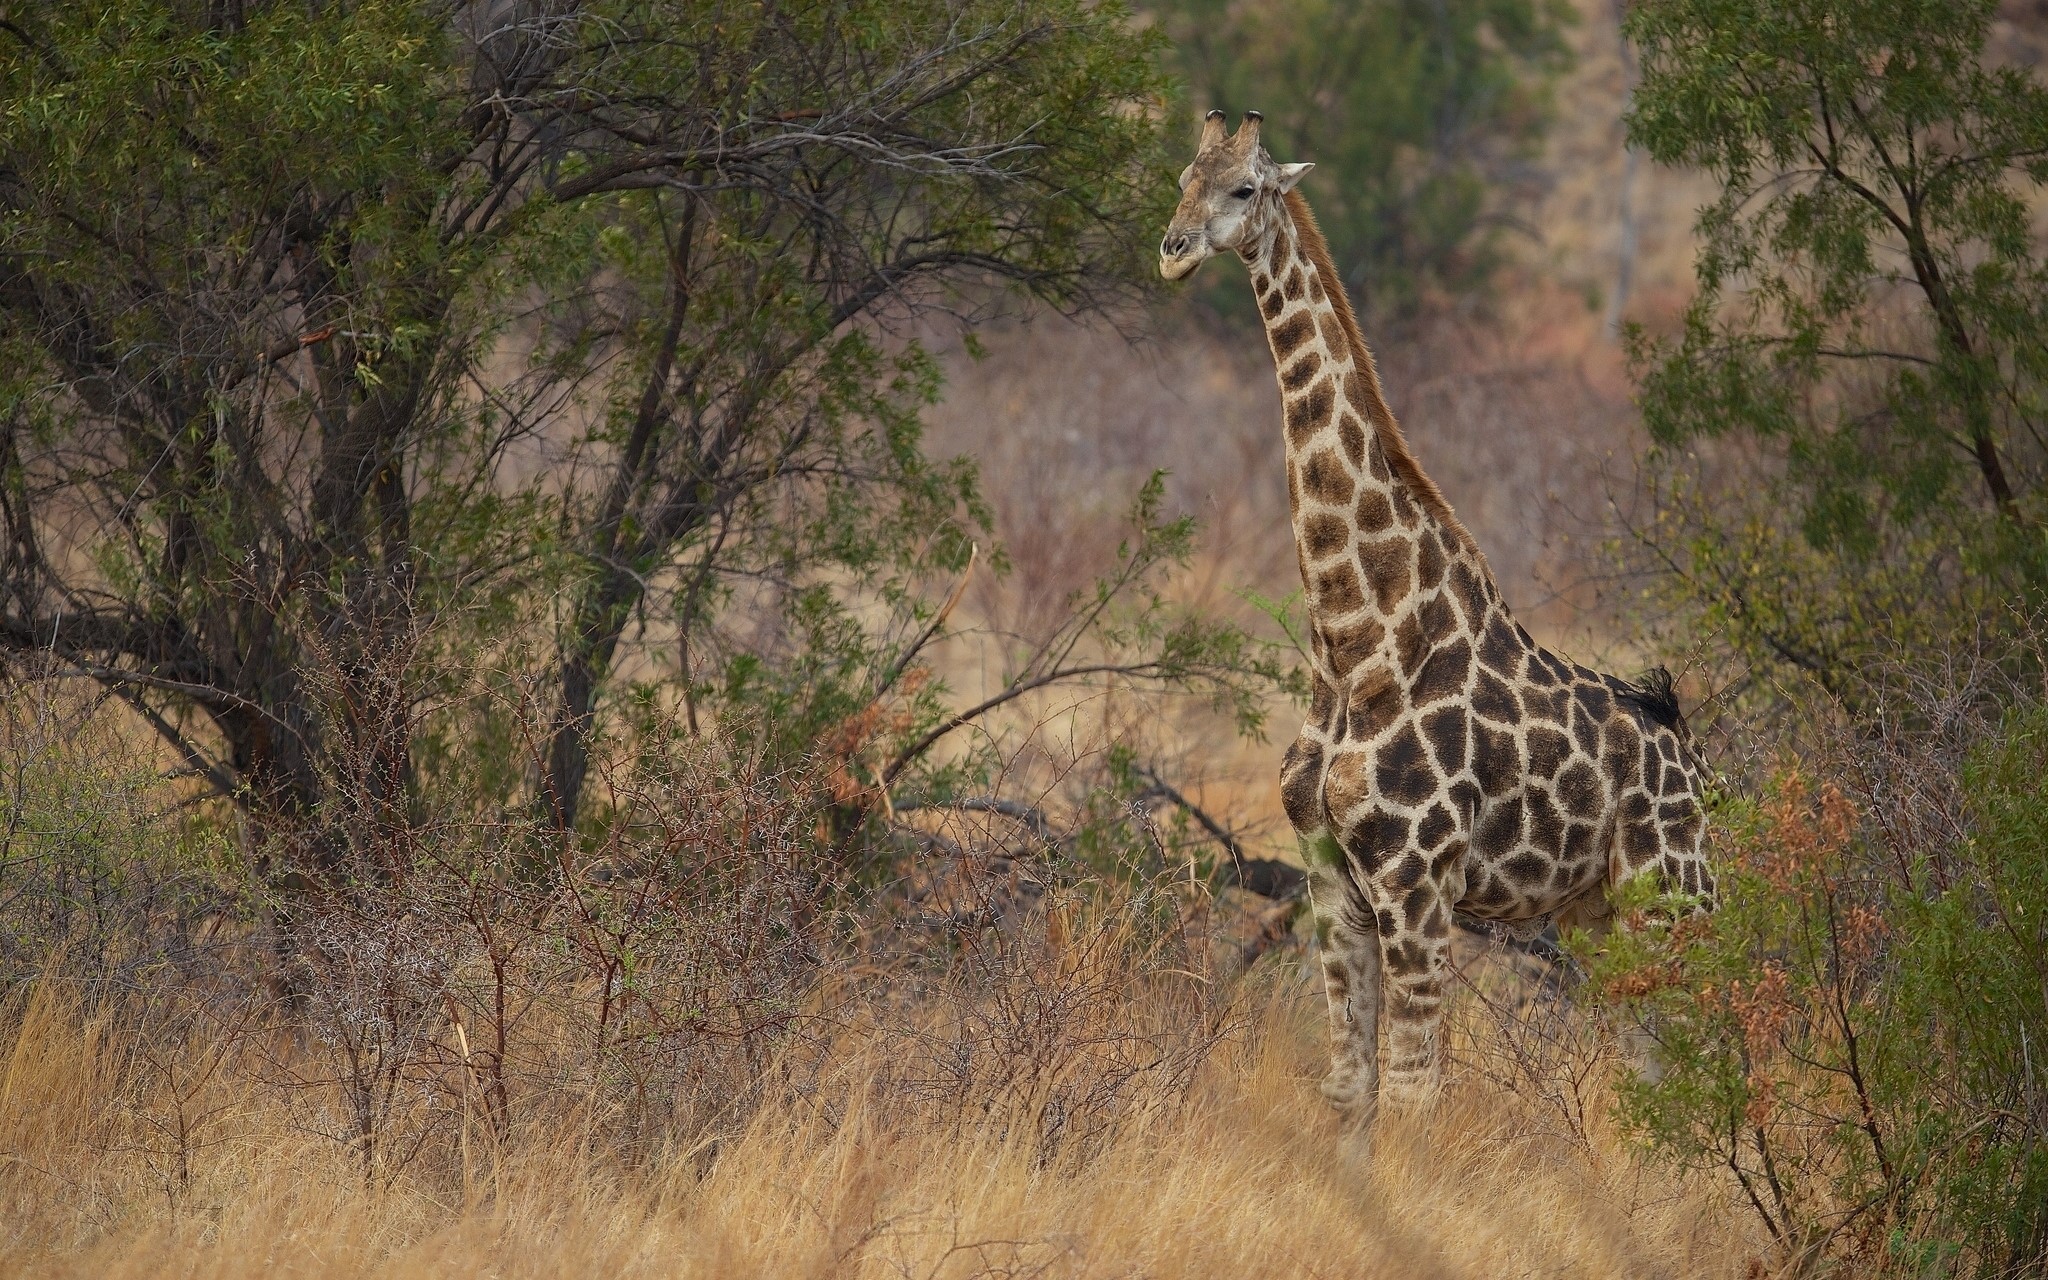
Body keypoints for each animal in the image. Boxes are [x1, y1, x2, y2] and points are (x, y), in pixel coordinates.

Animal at [1159, 110, 1714, 1131]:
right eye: (1183, 176)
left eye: (1244, 188)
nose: (1173, 251)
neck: (1358, 641)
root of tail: (1703, 767)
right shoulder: (1333, 885)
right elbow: (1351, 1090)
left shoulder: (1417, 887)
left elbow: (1416, 1096)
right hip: (1603, 916)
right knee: (1653, 1069)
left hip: (1679, 900)